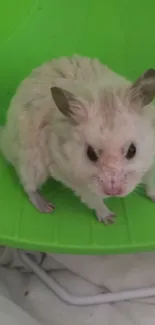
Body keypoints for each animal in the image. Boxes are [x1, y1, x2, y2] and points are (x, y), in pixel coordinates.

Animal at [0, 54, 155, 224]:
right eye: (90, 154)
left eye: (132, 151)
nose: (113, 191)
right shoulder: (72, 176)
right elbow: (93, 198)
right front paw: (110, 219)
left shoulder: (152, 161)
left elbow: (151, 182)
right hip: (31, 162)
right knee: (28, 186)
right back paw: (47, 207)